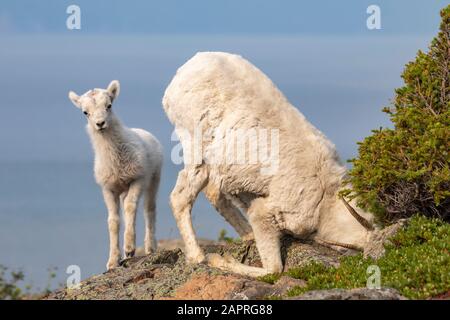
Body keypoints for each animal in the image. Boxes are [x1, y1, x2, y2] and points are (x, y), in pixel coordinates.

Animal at [68, 80, 163, 270]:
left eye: (109, 105)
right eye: (85, 112)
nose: (100, 123)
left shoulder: (138, 179)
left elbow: (131, 207)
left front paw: (129, 248)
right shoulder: (108, 188)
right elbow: (113, 221)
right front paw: (113, 261)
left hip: (154, 178)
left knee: (148, 210)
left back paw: (150, 247)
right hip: (123, 190)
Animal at [163, 52, 378, 278]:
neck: (324, 200)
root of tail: (183, 72)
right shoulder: (265, 213)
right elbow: (274, 270)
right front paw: (219, 261)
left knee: (213, 193)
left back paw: (248, 235)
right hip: (196, 149)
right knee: (181, 197)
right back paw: (198, 256)